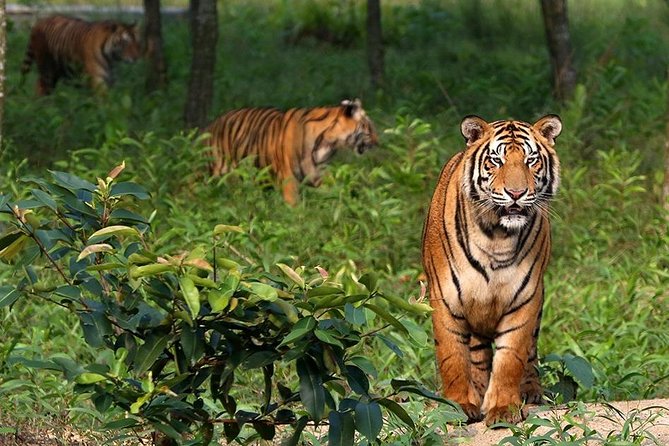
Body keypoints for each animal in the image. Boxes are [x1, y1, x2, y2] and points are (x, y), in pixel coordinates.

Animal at [206, 99, 378, 206]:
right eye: (369, 129)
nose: (378, 143)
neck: (328, 144)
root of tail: (213, 123)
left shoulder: (319, 173)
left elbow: (334, 192)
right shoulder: (288, 179)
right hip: (216, 172)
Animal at [421, 114, 562, 426]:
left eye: (531, 160)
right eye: (496, 161)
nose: (516, 193)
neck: (496, 236)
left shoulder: (525, 298)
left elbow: (511, 358)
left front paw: (504, 408)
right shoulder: (445, 298)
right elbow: (452, 356)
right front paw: (458, 405)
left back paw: (530, 390)